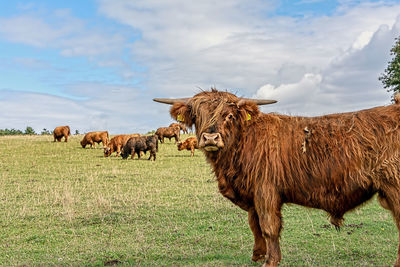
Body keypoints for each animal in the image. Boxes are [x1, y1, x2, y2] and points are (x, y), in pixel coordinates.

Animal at [154, 90, 400, 267]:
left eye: (230, 115)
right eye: (197, 115)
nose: (210, 138)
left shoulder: (266, 191)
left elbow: (269, 226)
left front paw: (271, 261)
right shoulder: (252, 195)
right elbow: (255, 226)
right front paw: (257, 255)